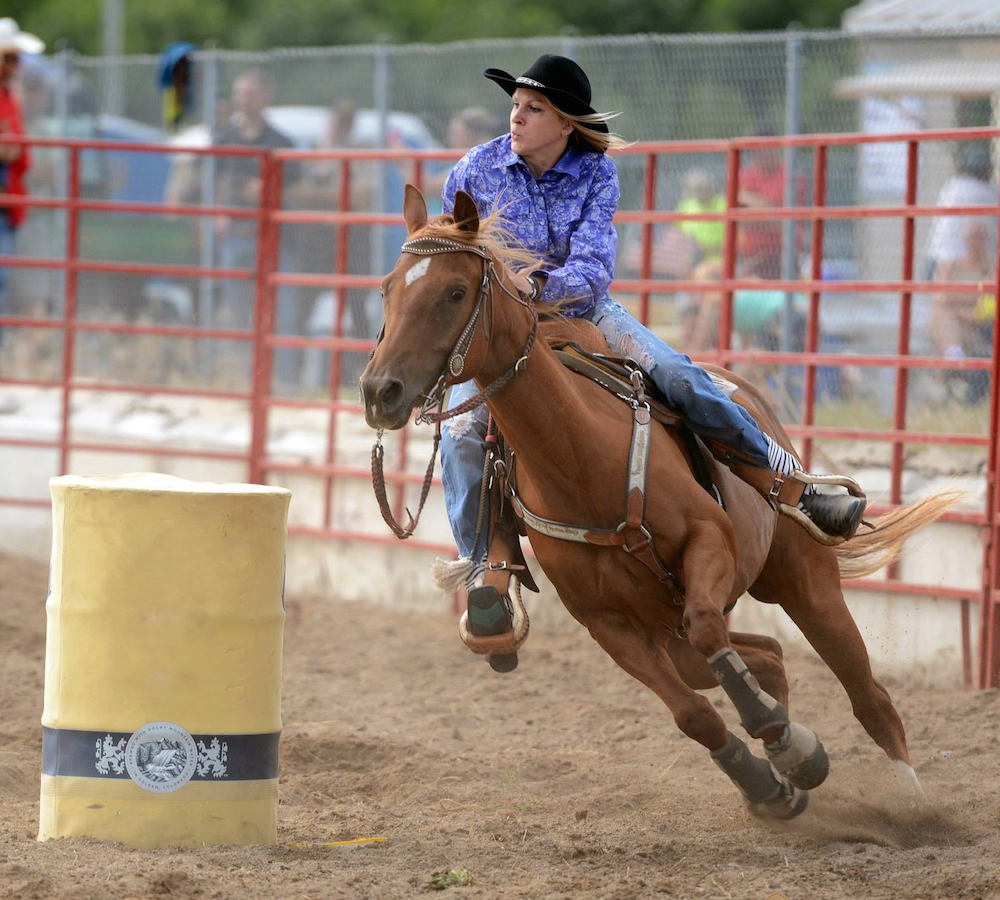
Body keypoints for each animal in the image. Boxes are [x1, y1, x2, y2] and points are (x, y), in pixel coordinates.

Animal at [364, 186, 956, 820]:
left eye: (454, 291)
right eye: (388, 288)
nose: (379, 392)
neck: (581, 458)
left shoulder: (708, 544)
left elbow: (709, 628)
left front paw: (782, 743)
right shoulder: (609, 625)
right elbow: (693, 715)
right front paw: (771, 780)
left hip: (805, 583)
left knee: (868, 695)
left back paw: (910, 799)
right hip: (672, 634)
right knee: (767, 656)